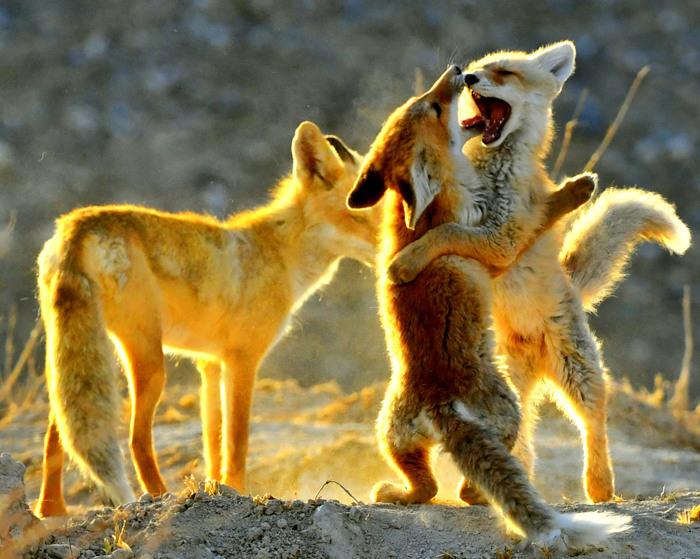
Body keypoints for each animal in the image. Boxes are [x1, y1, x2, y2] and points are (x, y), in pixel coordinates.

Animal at [34, 121, 380, 517]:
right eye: (355, 217)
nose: (391, 247)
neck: (279, 255)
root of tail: (77, 223)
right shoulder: (242, 359)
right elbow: (237, 442)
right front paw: (237, 491)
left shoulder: (208, 363)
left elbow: (213, 442)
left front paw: (216, 490)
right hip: (148, 361)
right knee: (136, 441)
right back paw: (160, 497)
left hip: (77, 352)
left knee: (57, 434)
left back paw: (50, 511)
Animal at [346, 65, 629, 549]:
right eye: (435, 108)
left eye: (423, 103)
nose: (459, 71)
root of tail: (440, 401)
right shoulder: (495, 242)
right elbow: (532, 218)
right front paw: (573, 191)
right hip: (508, 411)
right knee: (473, 476)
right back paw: (476, 494)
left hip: (389, 434)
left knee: (427, 488)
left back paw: (396, 493)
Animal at [387, 41, 691, 504]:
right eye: (479, 69)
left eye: (504, 73)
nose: (468, 78)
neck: (490, 172)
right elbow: (443, 228)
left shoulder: (504, 236)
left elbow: (449, 233)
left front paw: (406, 261)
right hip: (510, 379)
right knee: (522, 437)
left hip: (580, 371)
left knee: (593, 421)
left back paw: (599, 485)